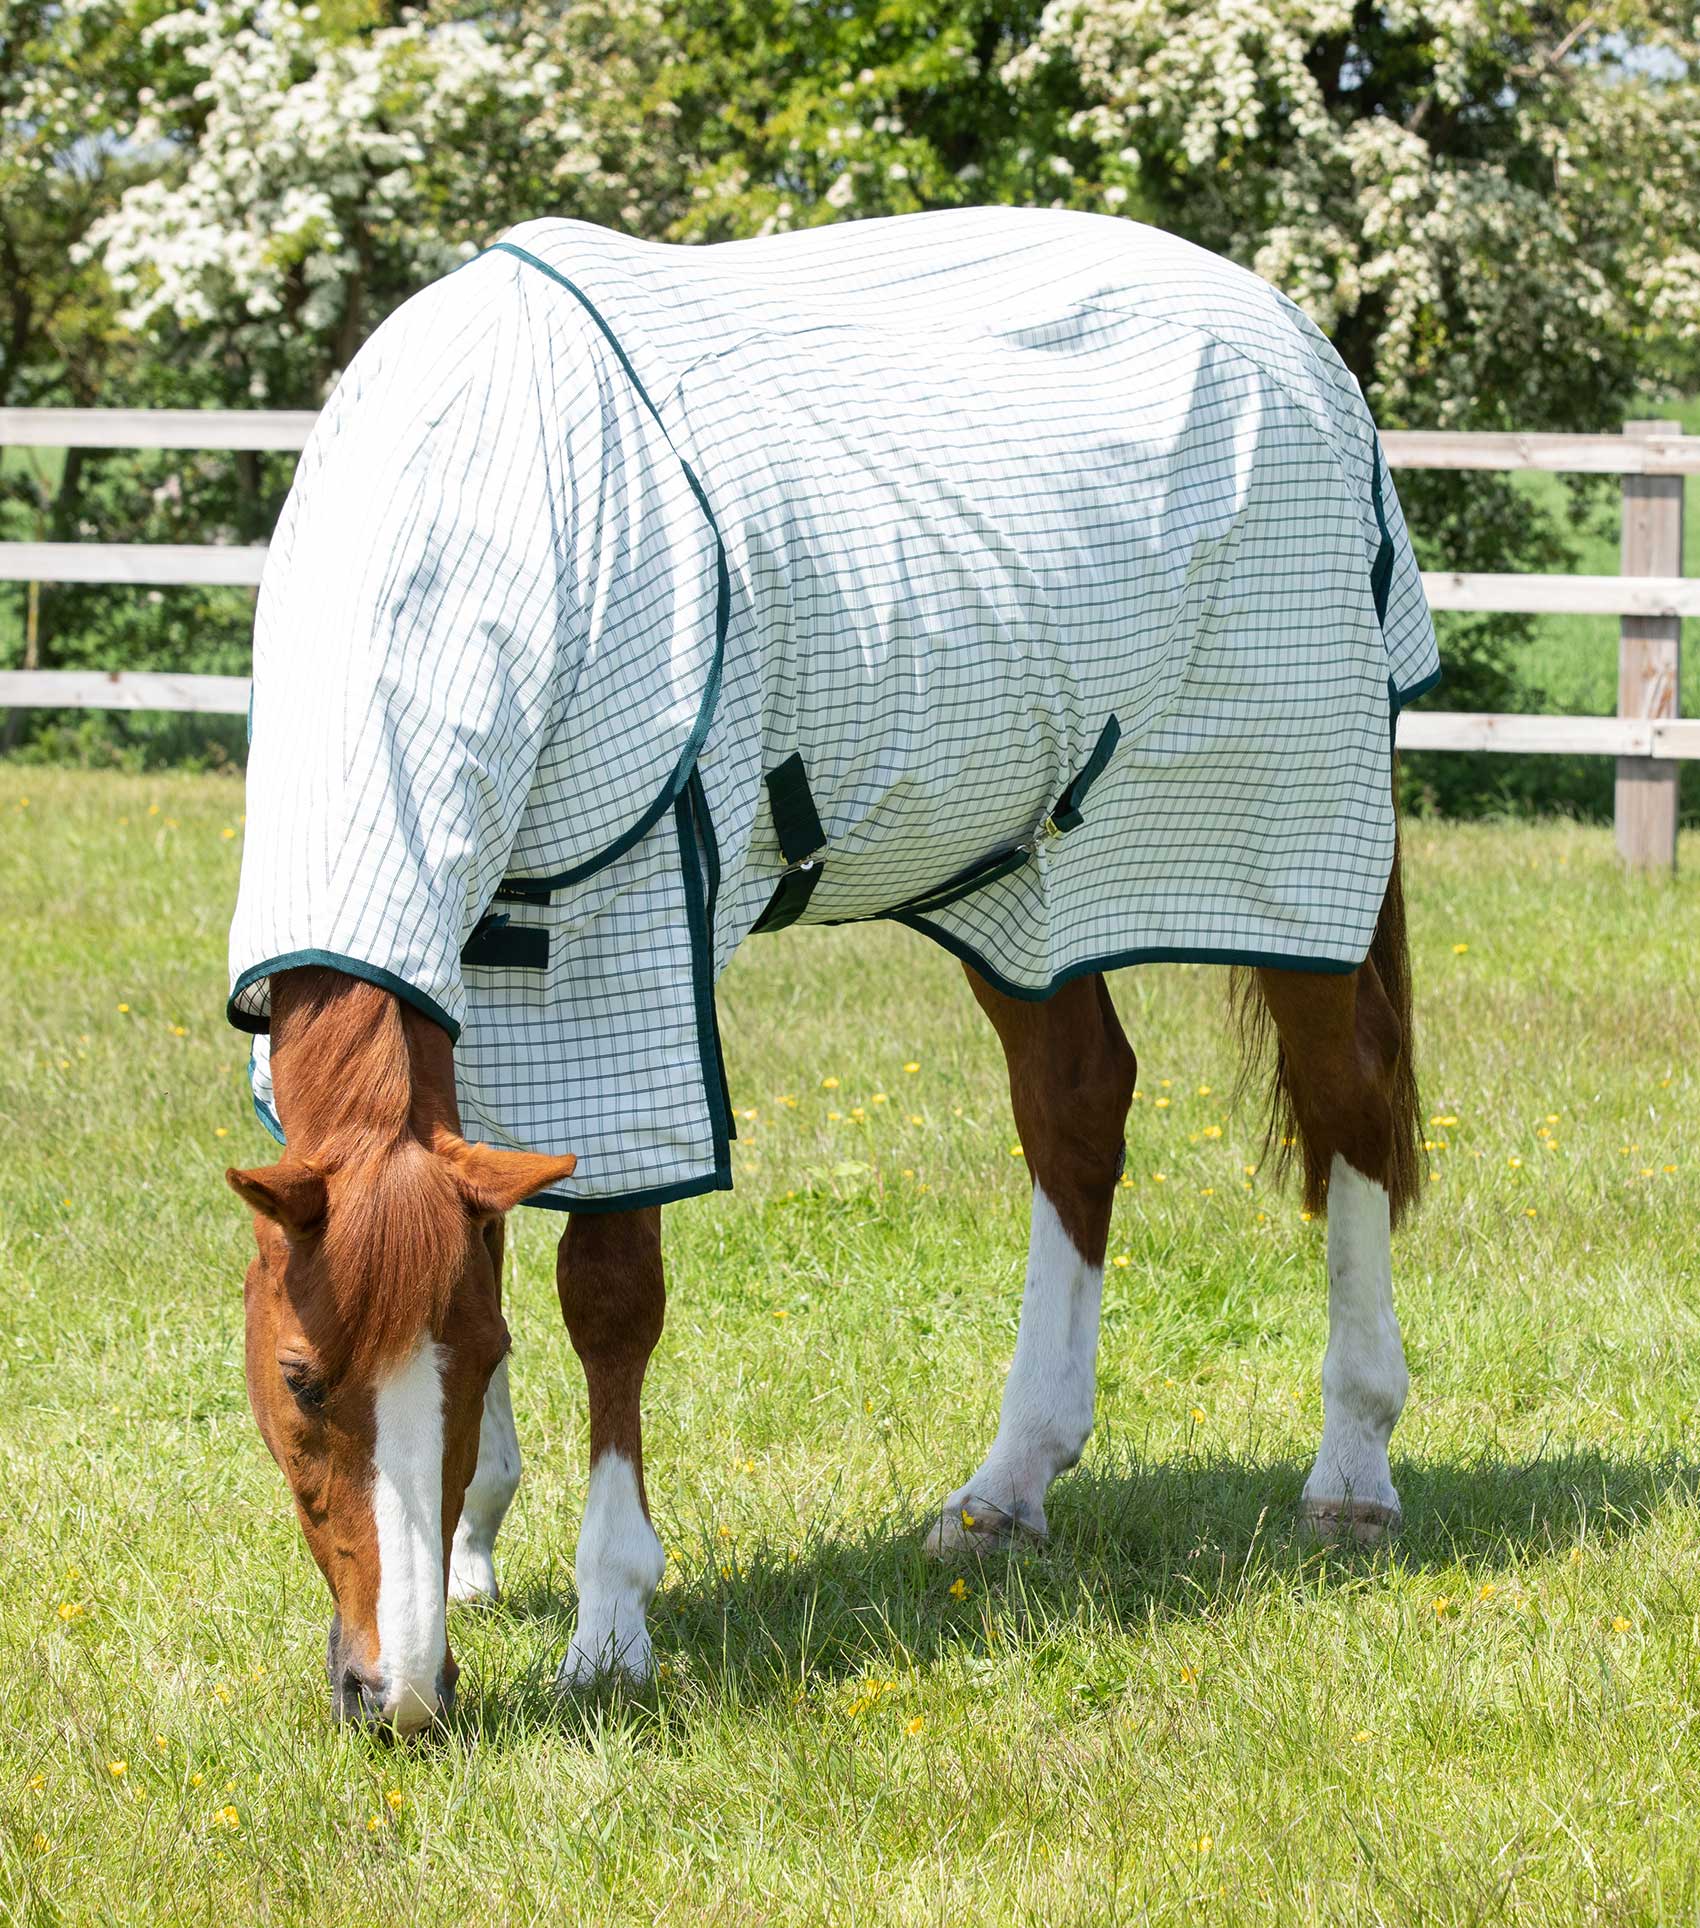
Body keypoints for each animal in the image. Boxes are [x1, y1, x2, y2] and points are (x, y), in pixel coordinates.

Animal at [224, 206, 1437, 1731]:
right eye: (301, 1377)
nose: (397, 1696)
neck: (482, 515)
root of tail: (1297, 345)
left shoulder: (634, 949)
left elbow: (609, 1297)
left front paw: (608, 1623)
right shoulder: (495, 986)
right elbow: (483, 1231)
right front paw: (480, 1548)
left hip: (1295, 830)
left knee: (1346, 1108)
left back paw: (1354, 1468)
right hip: (1016, 879)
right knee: (1078, 1111)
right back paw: (1008, 1485)